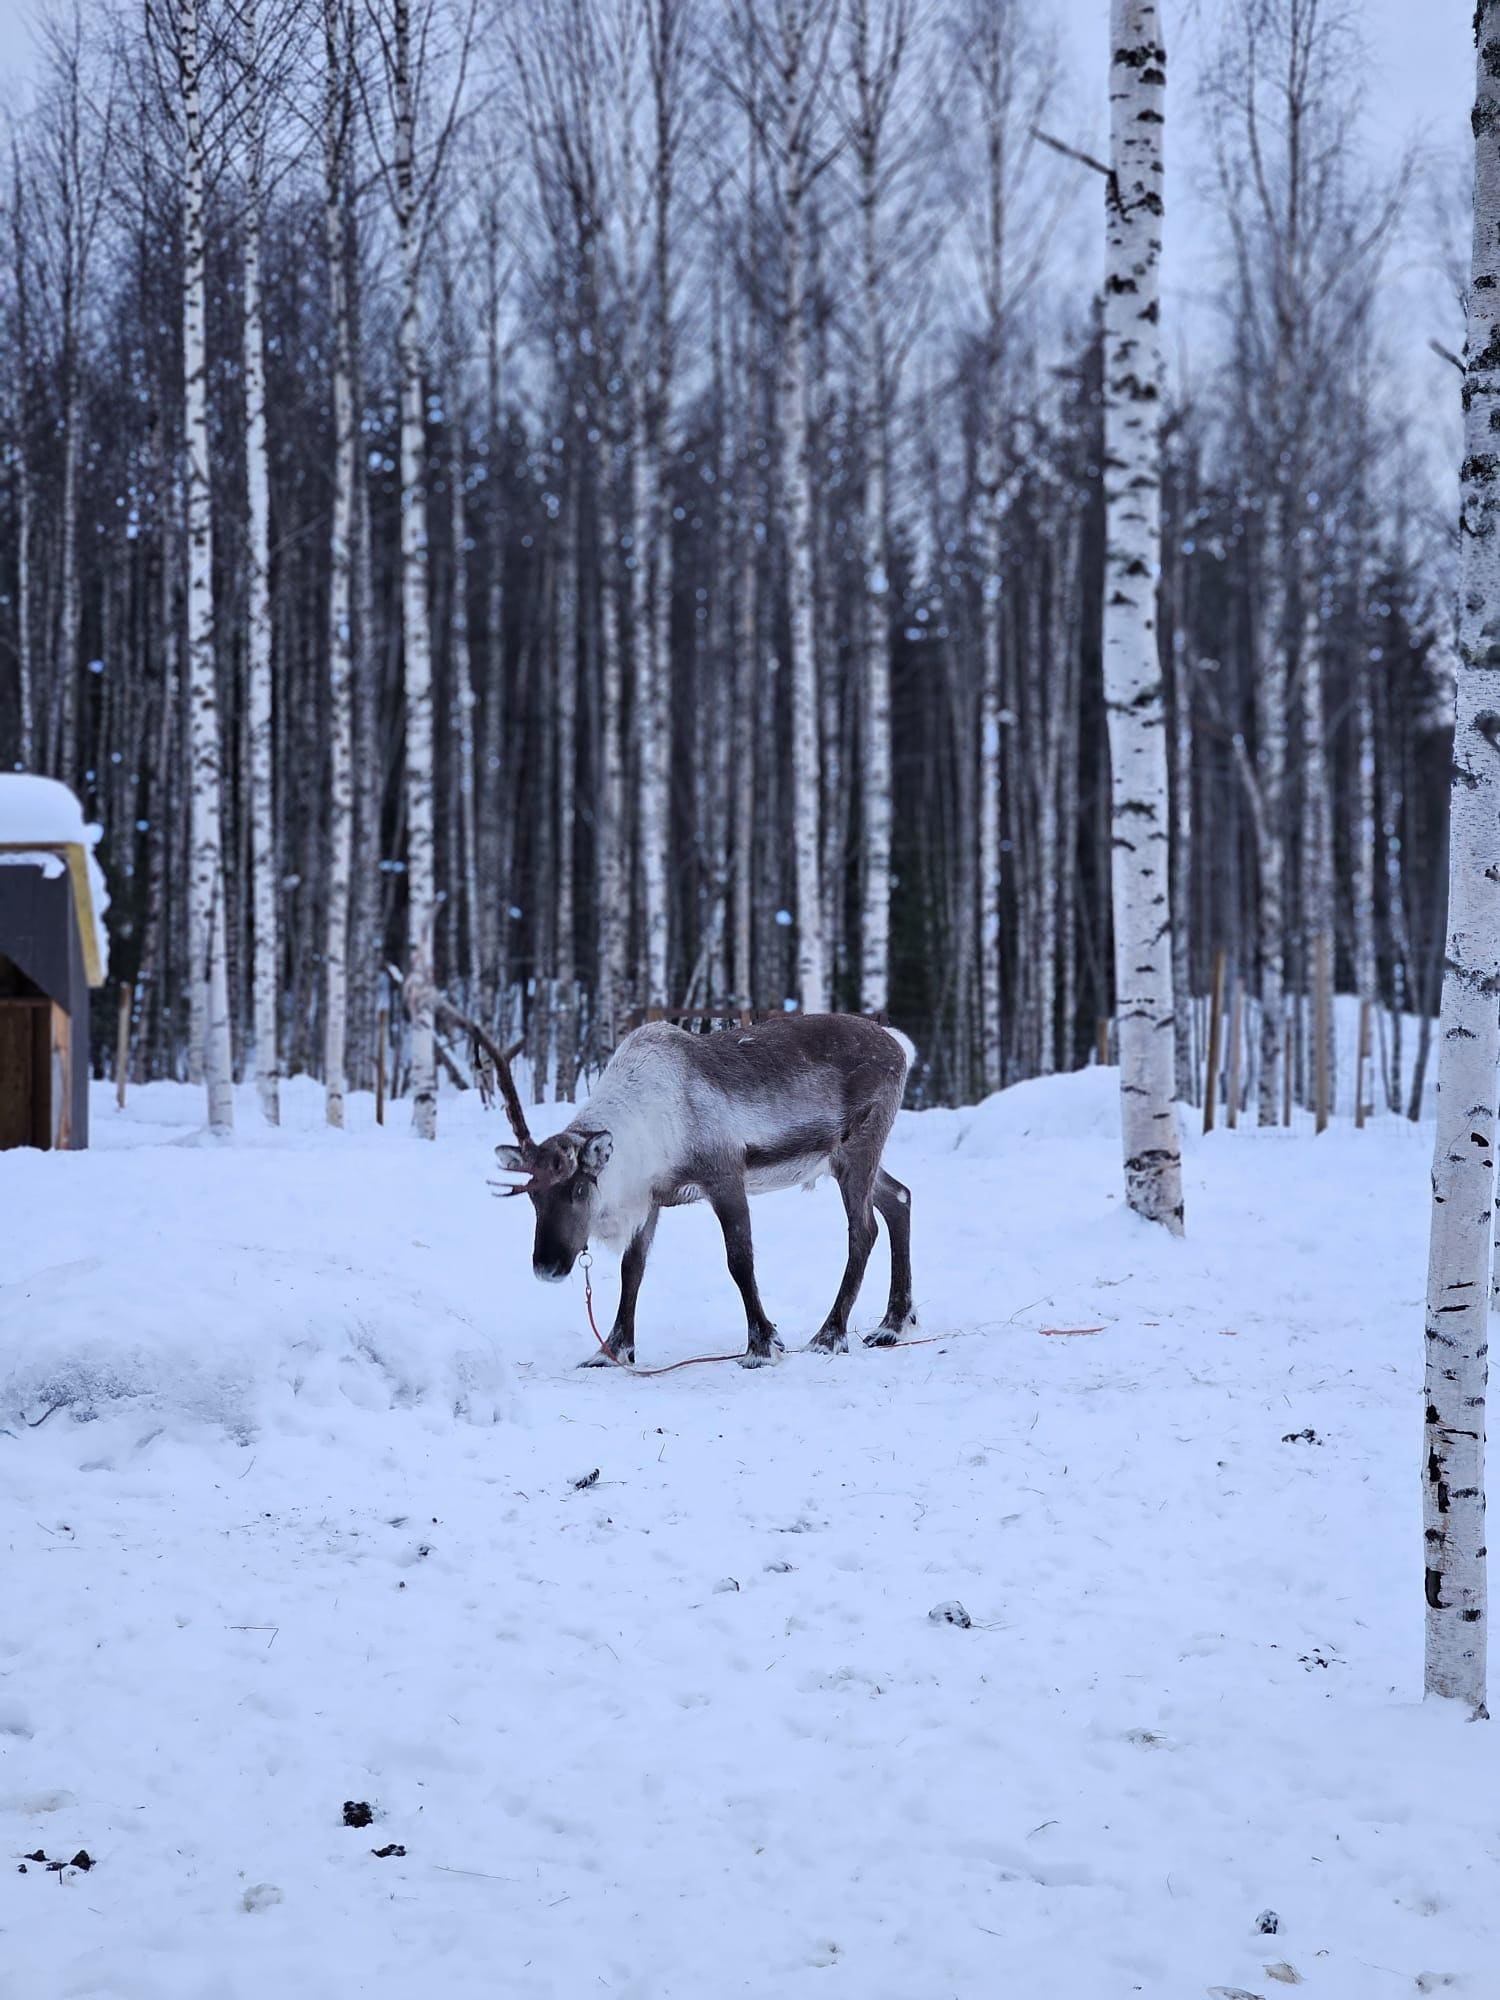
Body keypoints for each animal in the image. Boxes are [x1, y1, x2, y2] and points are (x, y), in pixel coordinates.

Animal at [490, 1013, 918, 1368]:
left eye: (579, 1188)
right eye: (532, 1195)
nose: (547, 1266)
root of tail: (899, 1045)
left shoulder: (725, 1176)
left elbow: (739, 1261)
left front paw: (762, 1346)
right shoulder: (652, 1199)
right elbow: (633, 1268)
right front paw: (612, 1350)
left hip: (857, 1149)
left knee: (864, 1230)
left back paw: (829, 1335)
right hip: (842, 1161)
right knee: (899, 1198)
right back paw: (892, 1325)